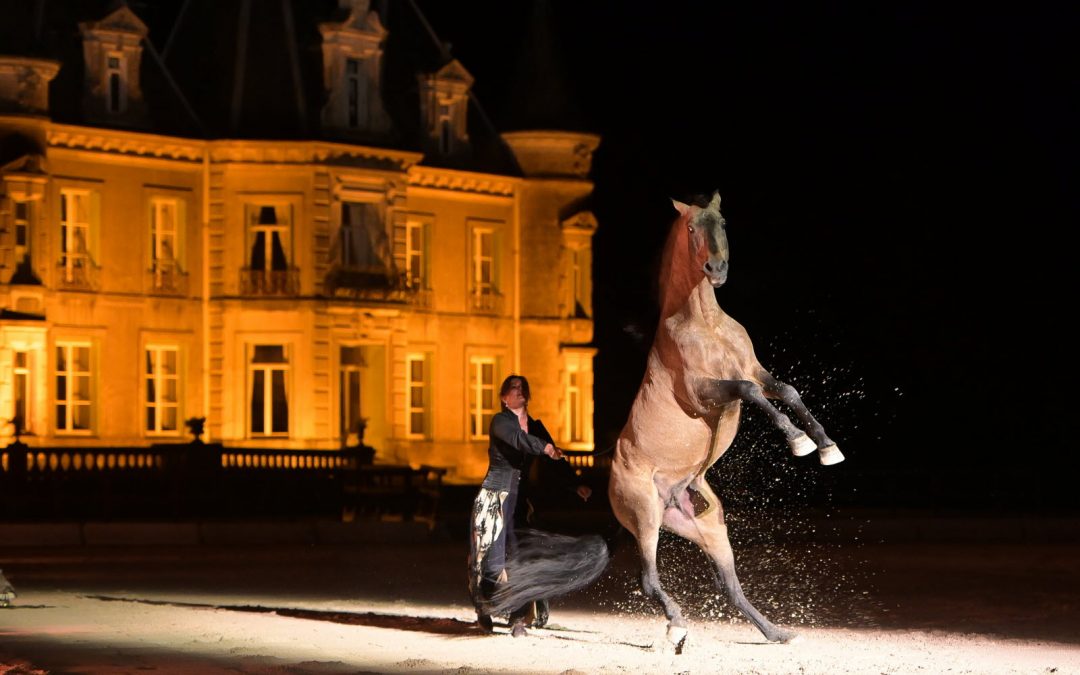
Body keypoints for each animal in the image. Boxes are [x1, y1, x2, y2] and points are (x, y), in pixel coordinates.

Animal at [609, 190, 842, 648]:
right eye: (690, 227)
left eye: (723, 222)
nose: (716, 270)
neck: (704, 323)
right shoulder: (706, 391)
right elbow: (750, 393)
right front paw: (798, 441)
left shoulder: (753, 368)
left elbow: (786, 390)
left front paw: (825, 447)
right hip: (645, 518)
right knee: (649, 580)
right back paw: (678, 627)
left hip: (707, 527)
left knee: (729, 585)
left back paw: (778, 633)